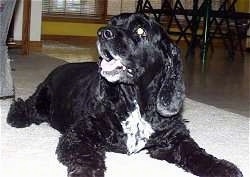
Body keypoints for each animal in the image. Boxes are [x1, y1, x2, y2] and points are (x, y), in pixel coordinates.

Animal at [7, 13, 242, 177]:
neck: (135, 101)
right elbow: (86, 157)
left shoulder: (173, 138)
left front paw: (222, 167)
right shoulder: (79, 134)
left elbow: (196, 153)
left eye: (140, 30)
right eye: (113, 22)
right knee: (24, 104)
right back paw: (17, 116)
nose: (103, 32)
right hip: (41, 99)